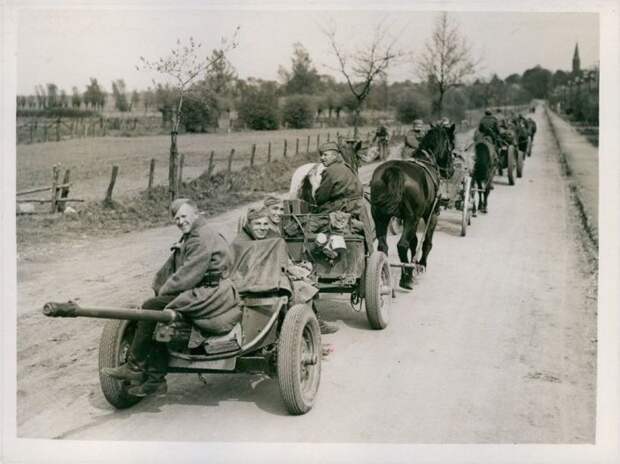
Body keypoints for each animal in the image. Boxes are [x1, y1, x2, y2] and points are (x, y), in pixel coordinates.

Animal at [368, 123, 456, 290]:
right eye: (451, 148)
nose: (451, 171)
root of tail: (394, 170)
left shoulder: (407, 220)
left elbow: (414, 241)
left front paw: (414, 264)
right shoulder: (431, 215)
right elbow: (426, 242)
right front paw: (421, 264)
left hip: (380, 216)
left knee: (383, 246)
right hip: (412, 218)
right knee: (402, 245)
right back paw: (406, 278)